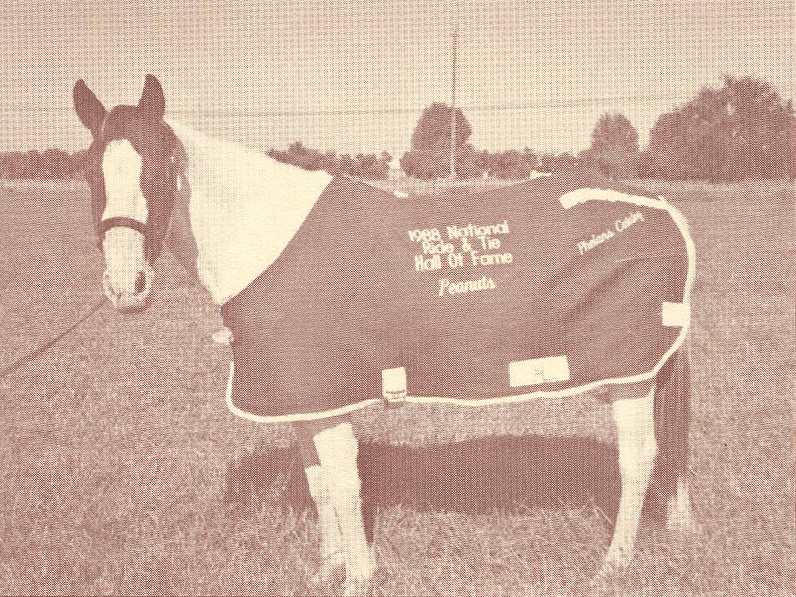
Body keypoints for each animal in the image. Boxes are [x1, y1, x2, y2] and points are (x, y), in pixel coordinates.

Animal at [76, 74, 696, 592]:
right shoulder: (303, 399)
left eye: (159, 168)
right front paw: (327, 569)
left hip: (631, 378)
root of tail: (660, 208)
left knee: (639, 459)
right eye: (90, 174)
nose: (125, 286)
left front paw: (359, 577)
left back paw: (614, 564)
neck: (267, 235)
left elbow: (344, 485)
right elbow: (318, 485)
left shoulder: (329, 398)